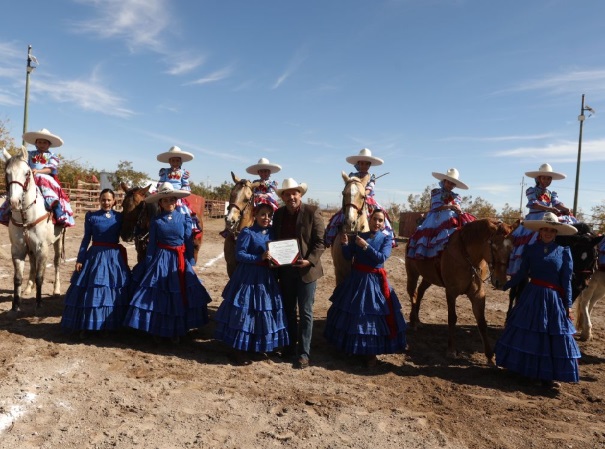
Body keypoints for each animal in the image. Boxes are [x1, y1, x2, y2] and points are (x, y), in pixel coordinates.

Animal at [2, 147, 65, 312]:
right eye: (7, 173)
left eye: (27, 173)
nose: (14, 202)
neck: (26, 218)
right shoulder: (18, 249)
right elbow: (18, 278)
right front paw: (16, 305)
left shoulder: (42, 249)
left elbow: (39, 276)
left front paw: (39, 303)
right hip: (30, 248)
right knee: (32, 263)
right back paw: (28, 288)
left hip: (58, 241)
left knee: (56, 263)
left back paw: (56, 290)